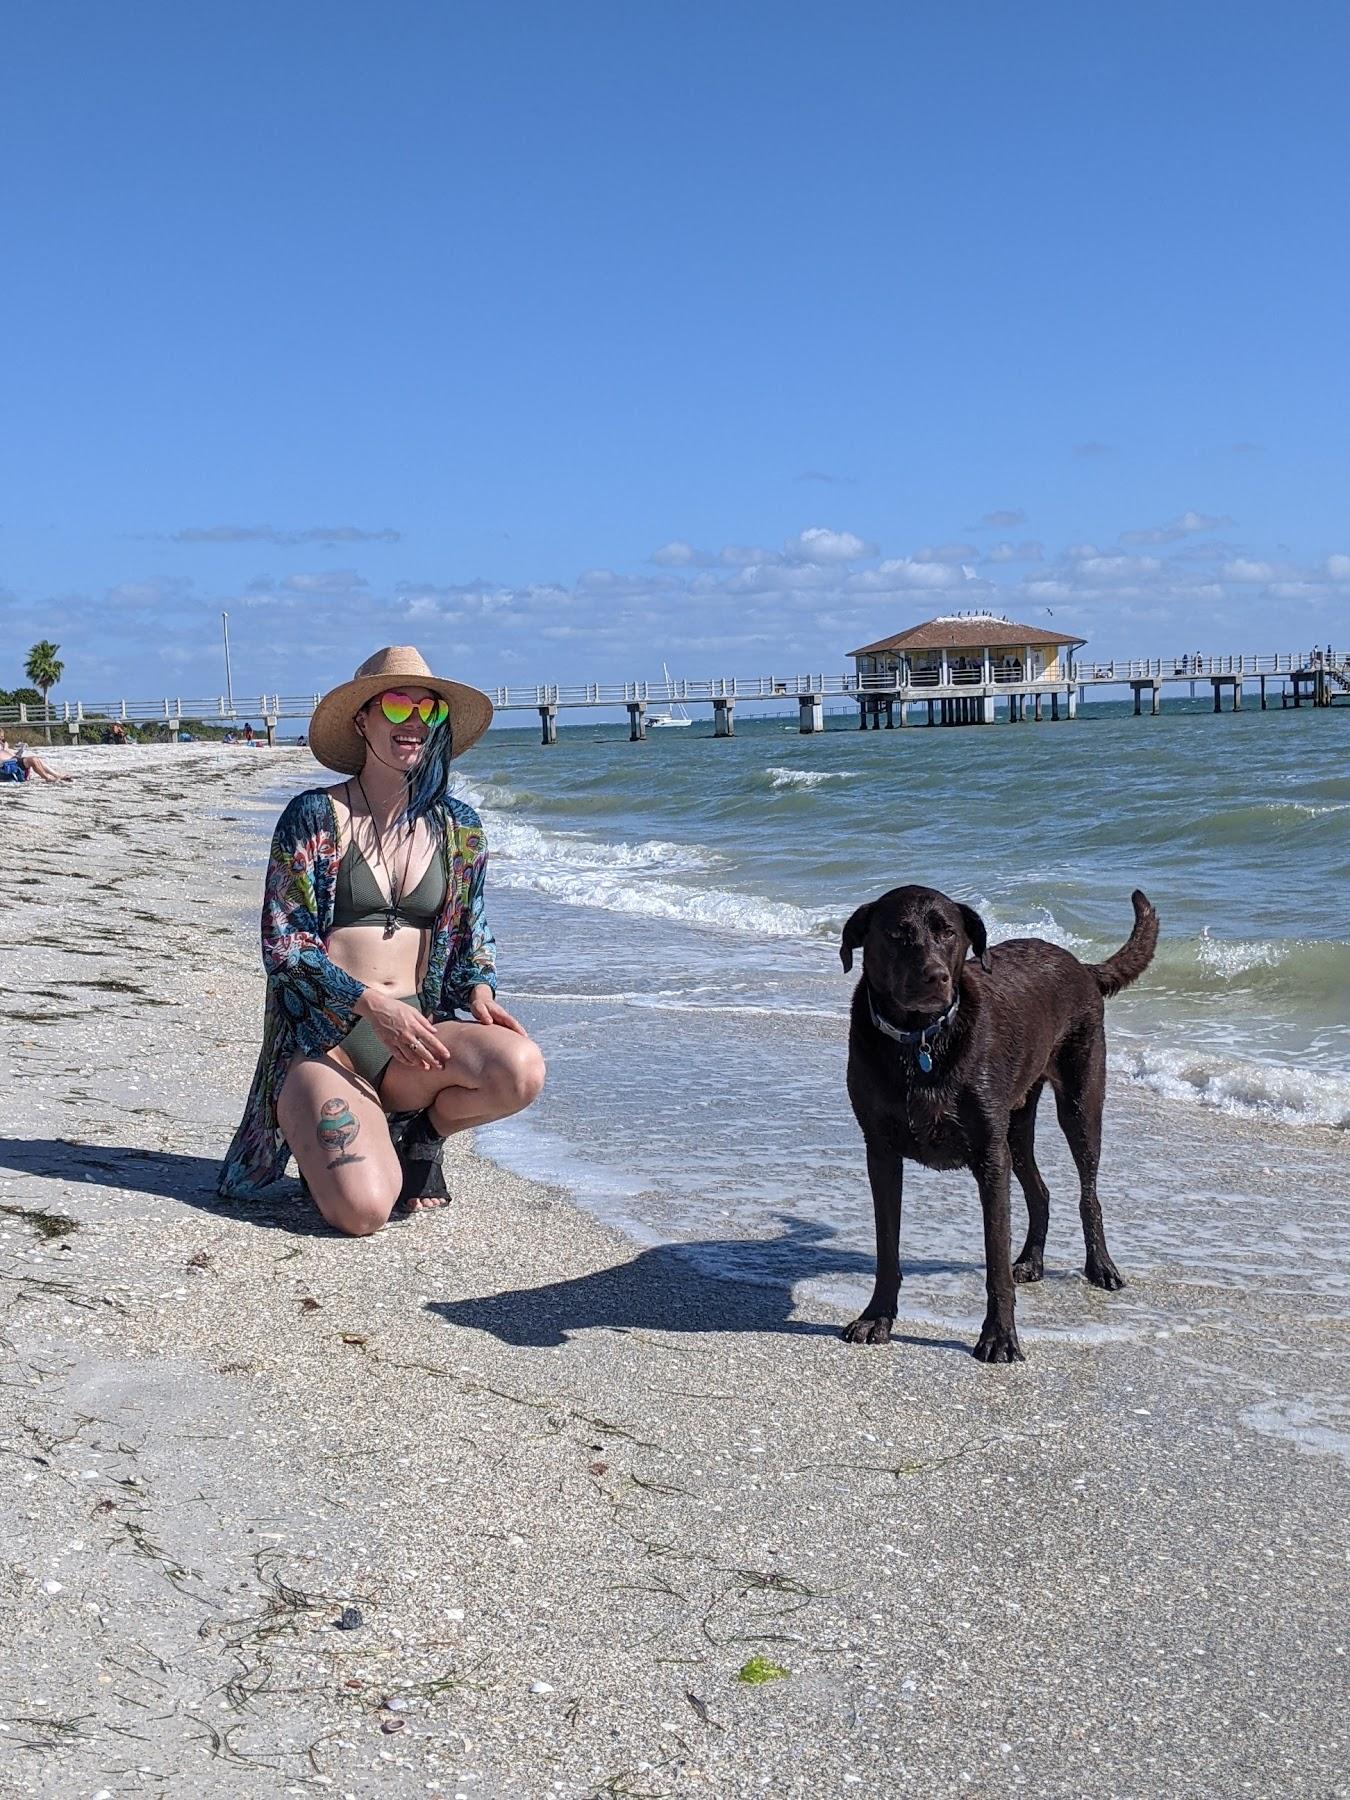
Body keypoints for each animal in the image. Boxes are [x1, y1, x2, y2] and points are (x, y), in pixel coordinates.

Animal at [842, 885, 1159, 1360]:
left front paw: (1000, 1336)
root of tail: (1081, 966)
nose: (935, 977)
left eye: (949, 933)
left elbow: (995, 1258)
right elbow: (887, 1247)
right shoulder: (880, 1153)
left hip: (1080, 1104)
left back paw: (1101, 1266)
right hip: (1017, 1125)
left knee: (1089, 1192)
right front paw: (876, 1316)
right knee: (1040, 1191)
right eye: (896, 934)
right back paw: (1031, 1260)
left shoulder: (991, 1159)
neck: (921, 1042)